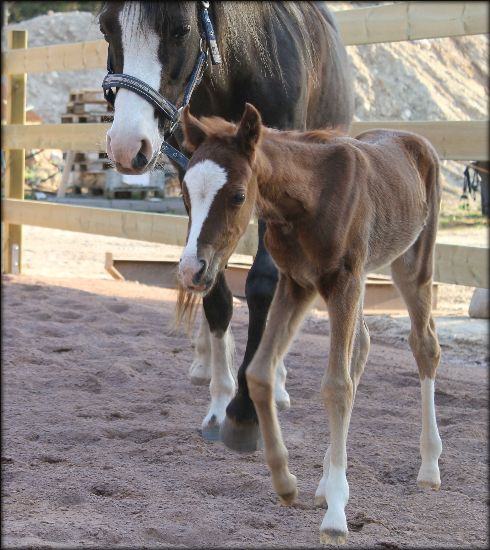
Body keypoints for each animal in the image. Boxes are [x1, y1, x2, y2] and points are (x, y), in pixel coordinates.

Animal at [98, 1, 352, 448]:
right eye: (104, 27)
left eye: (181, 30)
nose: (128, 146)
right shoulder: (195, 181)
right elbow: (214, 290)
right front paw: (220, 405)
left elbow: (263, 285)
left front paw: (247, 410)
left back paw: (277, 383)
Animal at [177, 104, 444, 548]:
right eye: (185, 192)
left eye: (237, 196)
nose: (190, 270)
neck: (310, 197)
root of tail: (416, 139)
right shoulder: (297, 282)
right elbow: (260, 373)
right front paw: (287, 483)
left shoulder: (342, 280)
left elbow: (336, 386)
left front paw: (336, 514)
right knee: (363, 345)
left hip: (412, 264)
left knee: (424, 346)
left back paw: (429, 467)